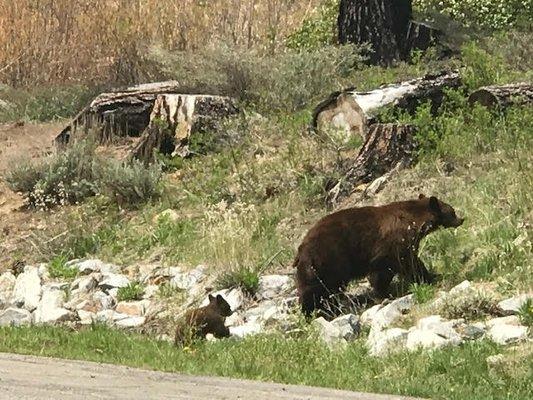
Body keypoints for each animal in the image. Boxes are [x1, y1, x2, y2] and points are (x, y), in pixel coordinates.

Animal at [294, 195, 464, 318]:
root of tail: (302, 249)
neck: (413, 219)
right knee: (322, 289)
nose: (462, 219)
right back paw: (319, 311)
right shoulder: (394, 242)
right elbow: (398, 265)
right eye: (453, 211)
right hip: (329, 260)